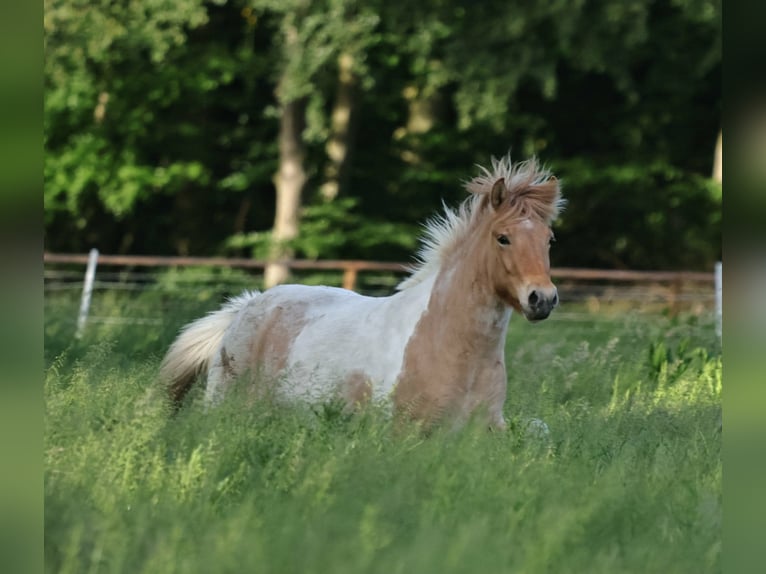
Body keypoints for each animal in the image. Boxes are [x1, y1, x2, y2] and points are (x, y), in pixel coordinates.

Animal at [160, 155, 564, 430]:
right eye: (503, 238)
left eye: (549, 239)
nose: (542, 299)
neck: (451, 347)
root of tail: (247, 307)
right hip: (224, 406)